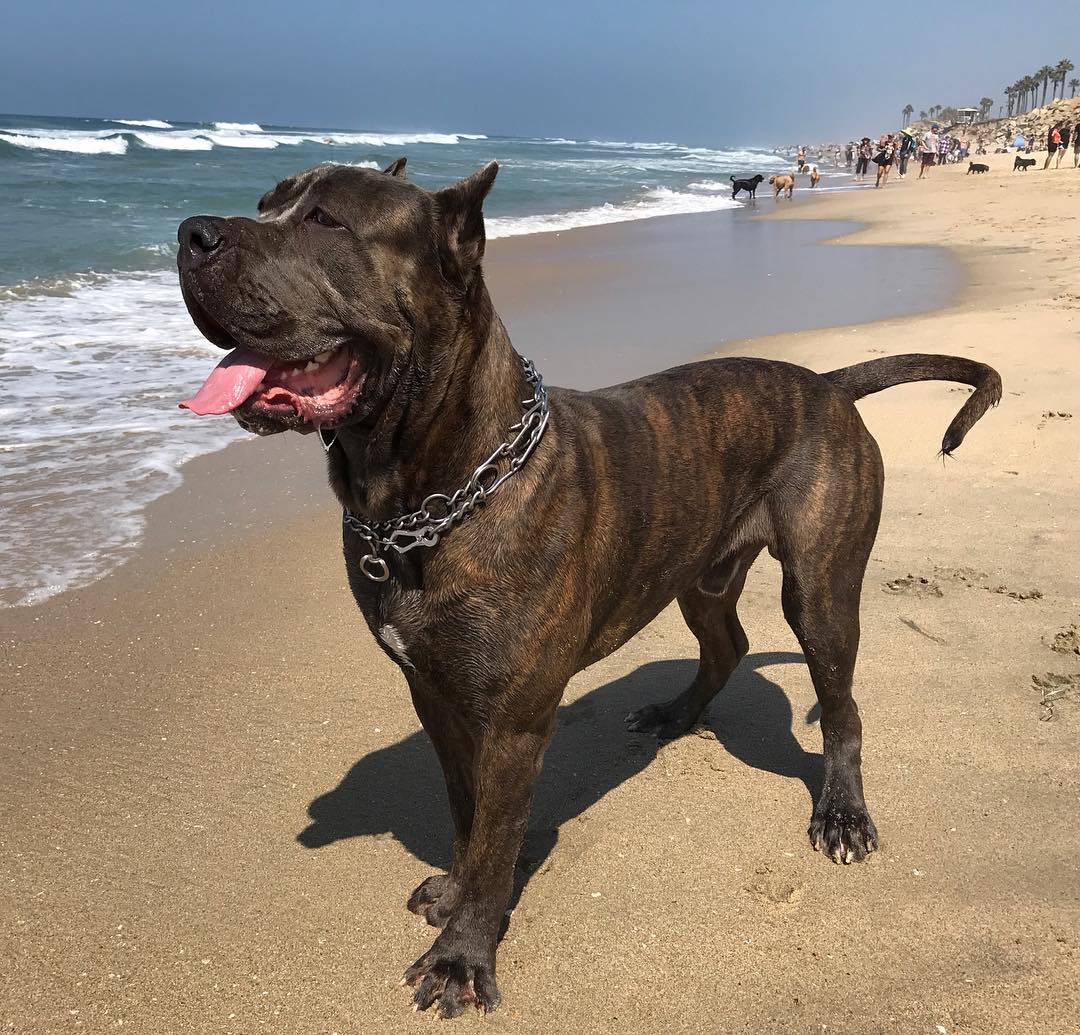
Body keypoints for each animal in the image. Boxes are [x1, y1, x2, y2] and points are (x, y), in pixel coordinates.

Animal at [172, 157, 997, 1015]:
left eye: (326, 219)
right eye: (268, 202)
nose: (191, 233)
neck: (428, 493)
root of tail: (829, 382)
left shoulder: (514, 721)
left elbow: (497, 835)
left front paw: (462, 956)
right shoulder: (436, 696)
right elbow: (468, 814)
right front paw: (459, 891)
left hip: (821, 590)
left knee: (840, 706)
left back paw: (843, 812)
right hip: (698, 572)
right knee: (726, 643)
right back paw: (676, 713)